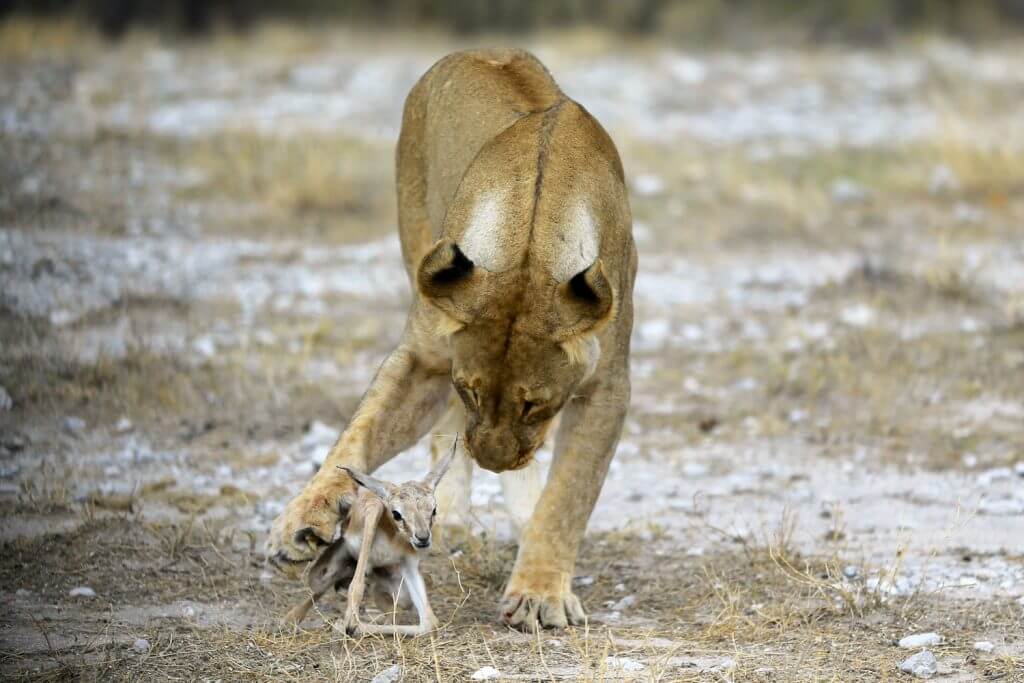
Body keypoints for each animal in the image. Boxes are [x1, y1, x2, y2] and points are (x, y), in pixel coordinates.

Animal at [280, 438, 456, 634]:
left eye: (434, 509)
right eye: (396, 514)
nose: (423, 538)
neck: (392, 541)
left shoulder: (408, 564)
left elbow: (429, 623)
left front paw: (347, 625)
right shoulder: (373, 508)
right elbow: (355, 593)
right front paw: (346, 624)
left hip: (395, 591)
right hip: (322, 574)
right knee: (319, 587)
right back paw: (290, 619)